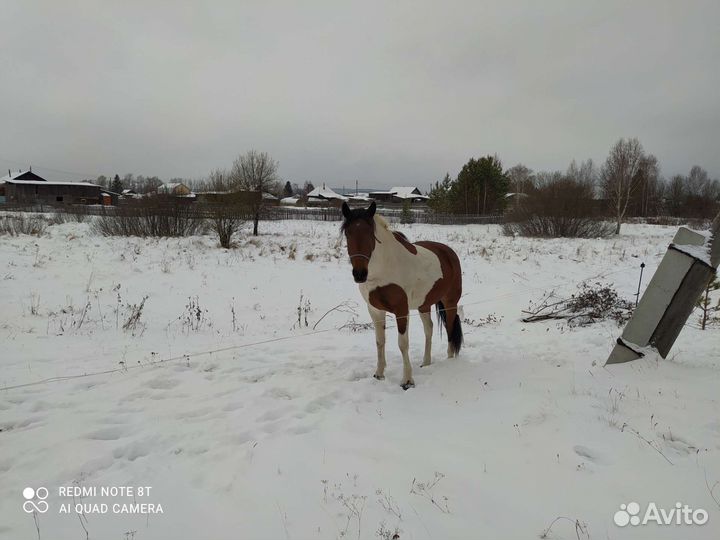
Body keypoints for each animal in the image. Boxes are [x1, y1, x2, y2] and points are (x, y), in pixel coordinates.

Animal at [341, 201, 463, 389]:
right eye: (348, 233)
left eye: (370, 233)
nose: (359, 274)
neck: (384, 268)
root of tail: (448, 252)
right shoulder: (375, 310)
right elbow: (380, 341)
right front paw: (379, 374)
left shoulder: (401, 310)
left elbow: (403, 343)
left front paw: (407, 381)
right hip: (424, 304)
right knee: (429, 329)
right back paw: (426, 362)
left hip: (450, 301)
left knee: (449, 327)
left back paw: (449, 362)